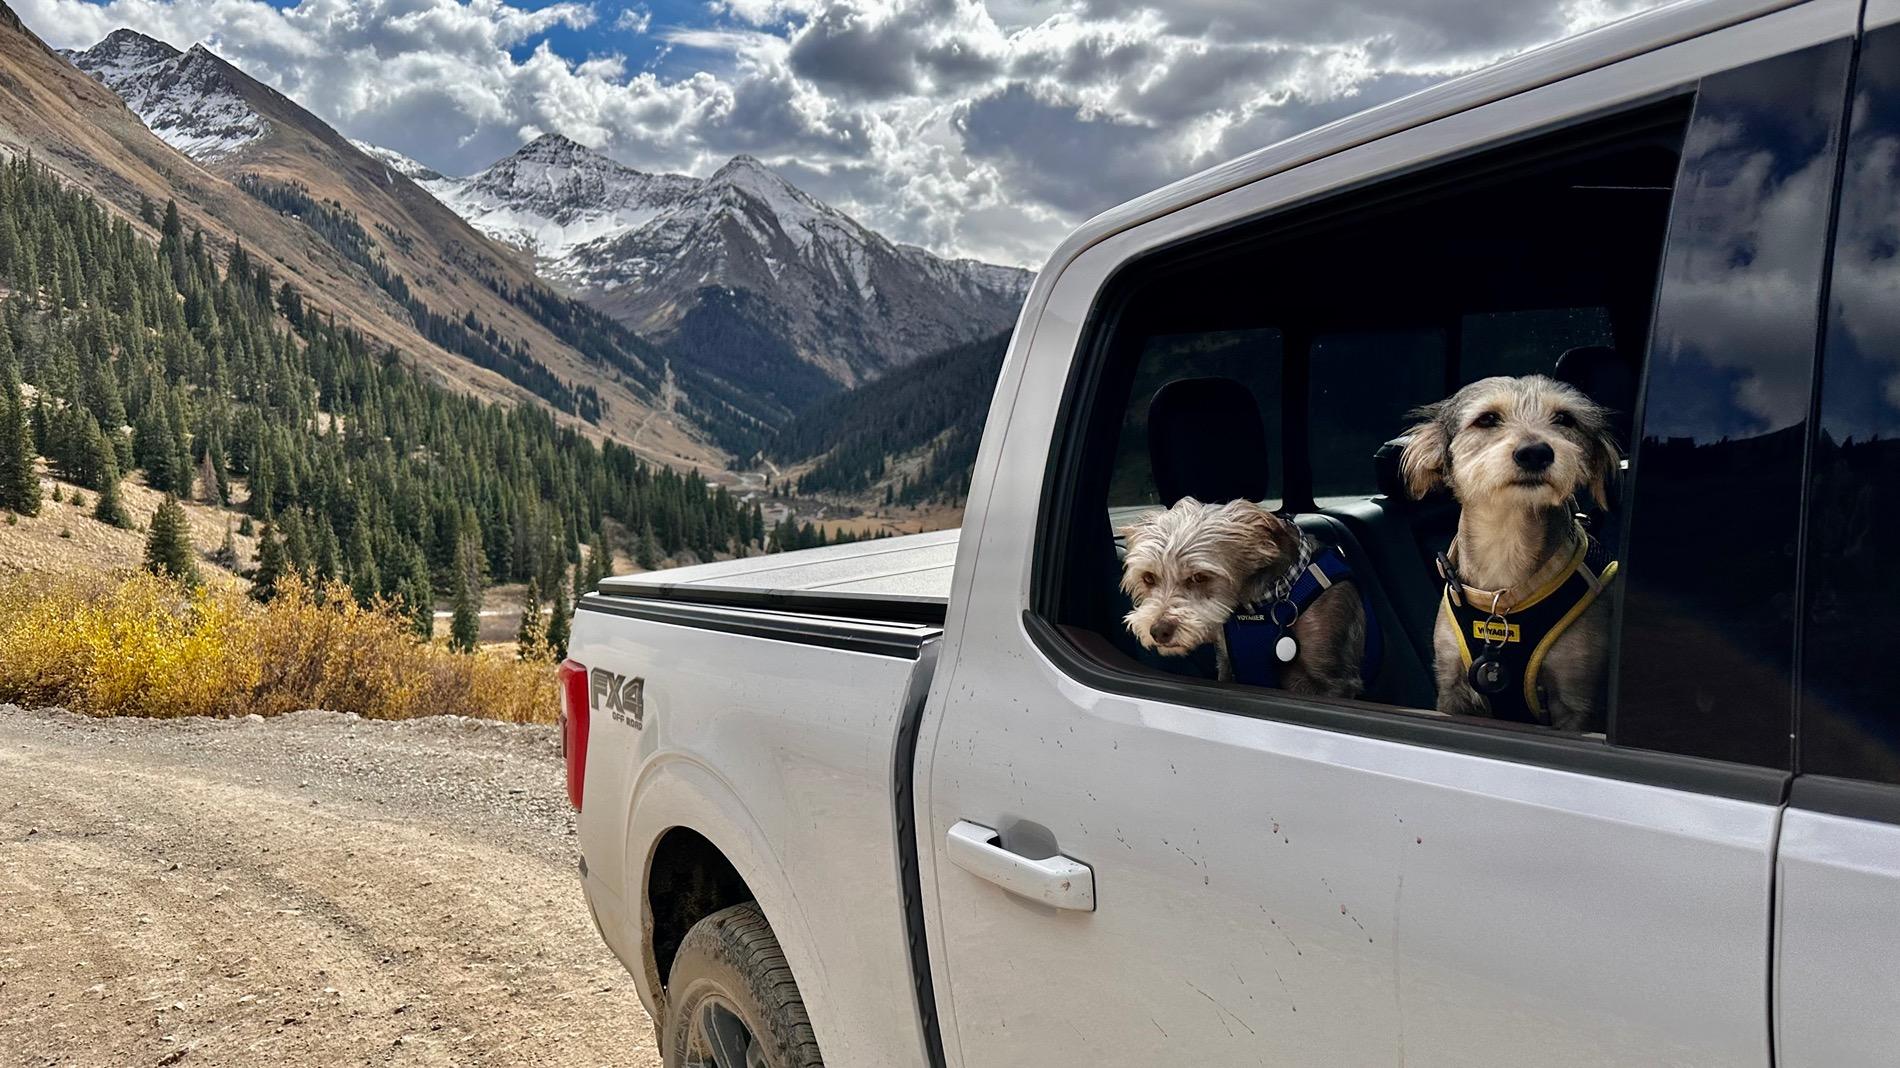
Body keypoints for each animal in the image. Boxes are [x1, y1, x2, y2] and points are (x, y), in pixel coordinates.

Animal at [1109, 494, 1368, 695]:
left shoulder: (1334, 679)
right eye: (1148, 578)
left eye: (1199, 577)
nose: (1158, 631)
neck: (1261, 606)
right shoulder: (1227, 663)